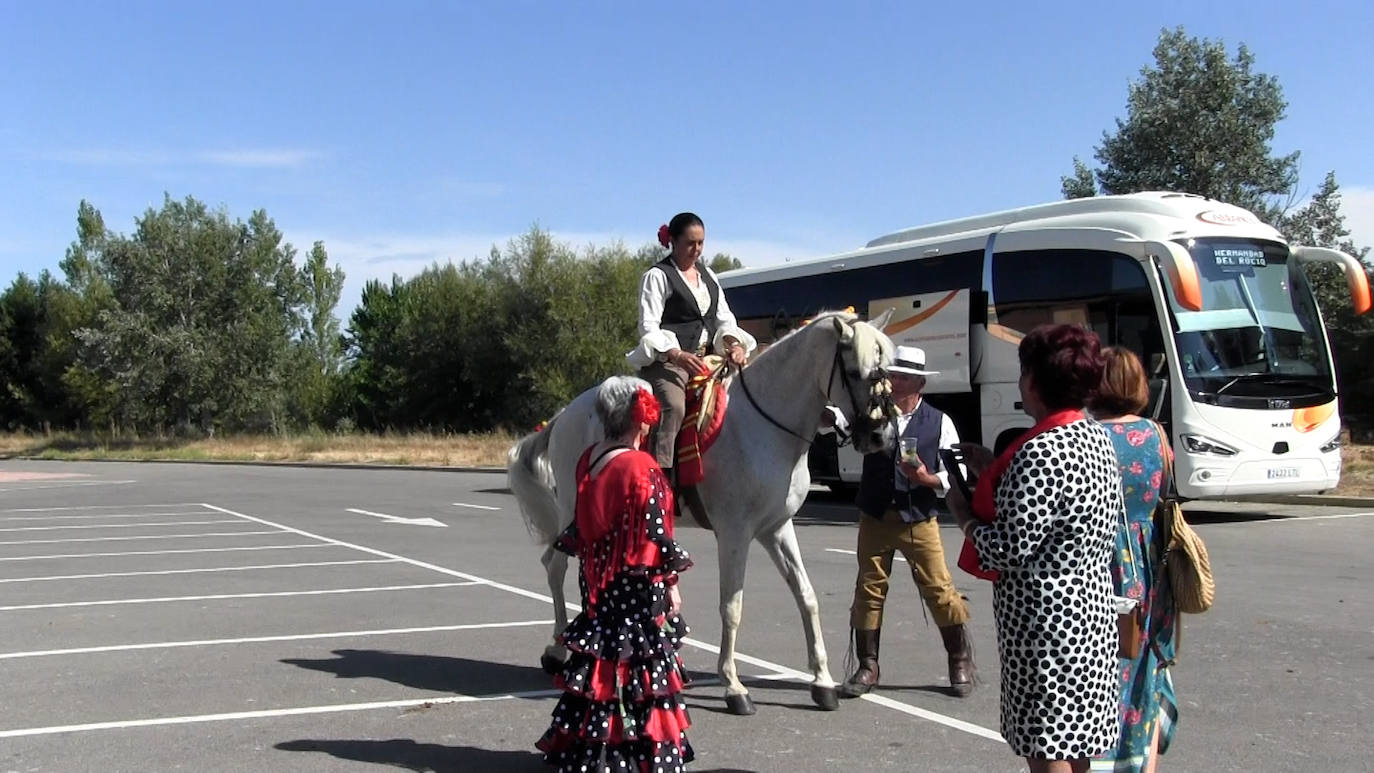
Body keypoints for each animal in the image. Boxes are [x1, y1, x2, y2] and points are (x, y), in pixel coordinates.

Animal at [511, 308, 895, 713]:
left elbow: (806, 597)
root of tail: (566, 413)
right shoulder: (735, 533)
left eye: (887, 369)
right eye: (854, 370)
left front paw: (821, 682)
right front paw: (734, 687)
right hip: (574, 510)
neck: (766, 429)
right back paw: (556, 649)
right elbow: (732, 606)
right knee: (555, 566)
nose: (880, 437)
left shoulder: (777, 528)